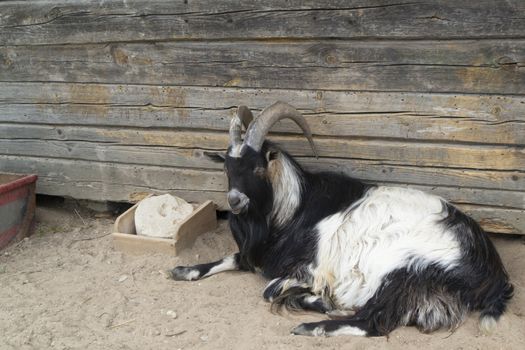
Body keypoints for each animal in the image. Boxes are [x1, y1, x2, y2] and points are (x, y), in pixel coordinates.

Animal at [169, 100, 512, 336]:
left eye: (257, 168)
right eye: (227, 168)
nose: (235, 201)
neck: (293, 210)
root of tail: (492, 270)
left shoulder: (308, 269)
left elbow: (269, 290)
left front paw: (319, 301)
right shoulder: (260, 255)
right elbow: (231, 258)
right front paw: (183, 270)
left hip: (408, 271)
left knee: (373, 322)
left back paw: (314, 325)